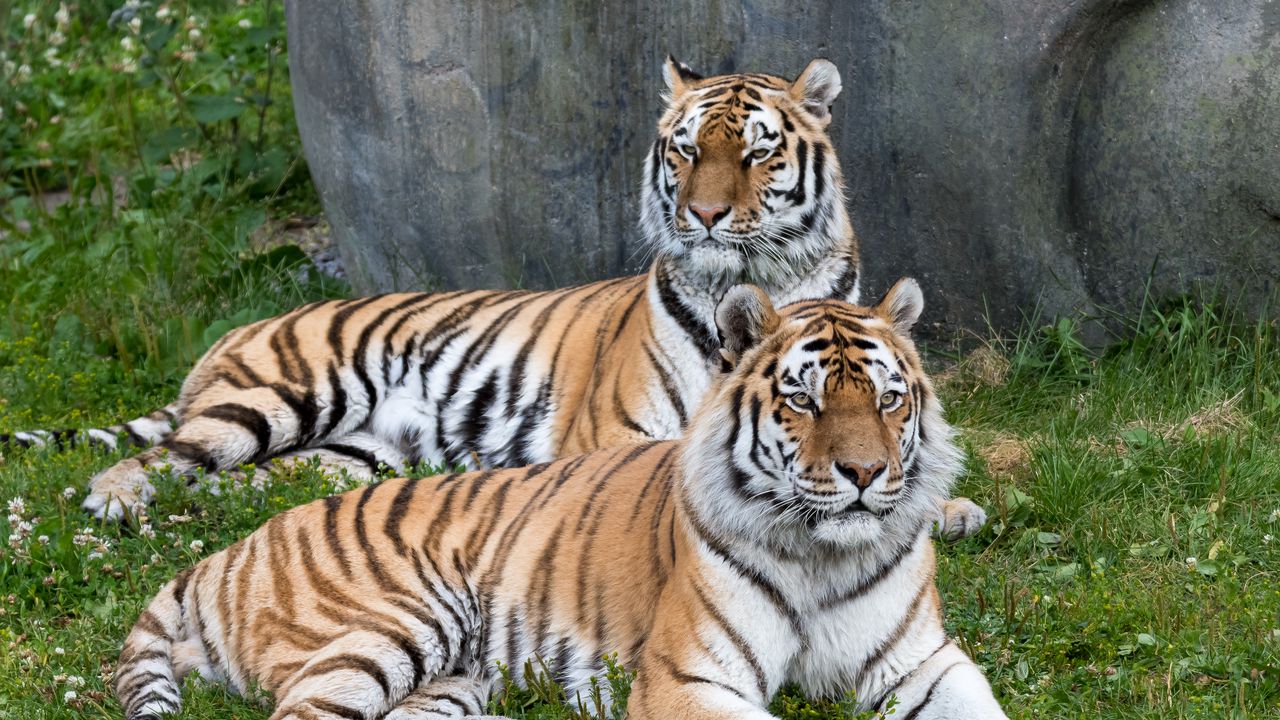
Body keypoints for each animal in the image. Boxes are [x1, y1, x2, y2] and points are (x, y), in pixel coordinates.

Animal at [3, 56, 984, 539]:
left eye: (755, 151)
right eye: (683, 150)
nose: (704, 216)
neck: (754, 284)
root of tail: (234, 333)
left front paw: (946, 509)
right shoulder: (618, 436)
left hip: (353, 454)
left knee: (235, 485)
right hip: (278, 397)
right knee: (154, 460)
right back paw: (117, 507)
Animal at [116, 280, 1007, 720]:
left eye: (888, 400)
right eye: (804, 401)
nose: (863, 474)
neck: (823, 554)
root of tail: (227, 549)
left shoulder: (925, 661)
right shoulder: (689, 678)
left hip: (453, 680)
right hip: (390, 622)